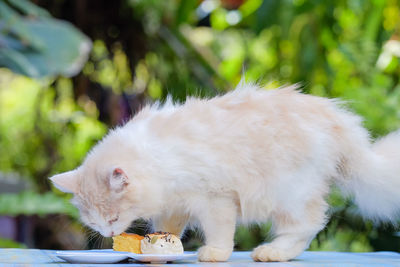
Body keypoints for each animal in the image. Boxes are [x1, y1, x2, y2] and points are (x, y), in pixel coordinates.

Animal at [50, 82, 400, 262]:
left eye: (112, 219)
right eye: (94, 222)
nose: (108, 234)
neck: (158, 159)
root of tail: (340, 122)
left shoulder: (214, 198)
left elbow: (219, 232)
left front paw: (215, 252)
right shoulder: (175, 204)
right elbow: (168, 229)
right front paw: (159, 247)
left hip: (291, 194)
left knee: (309, 224)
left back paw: (272, 252)